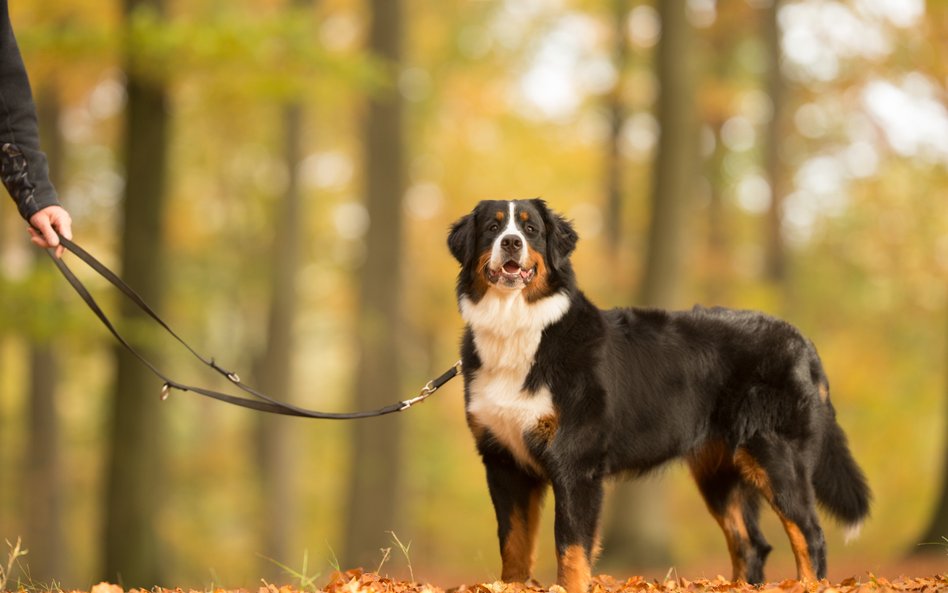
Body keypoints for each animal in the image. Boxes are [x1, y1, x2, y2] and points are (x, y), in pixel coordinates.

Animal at [448, 199, 872, 592]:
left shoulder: (575, 463)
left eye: (530, 228)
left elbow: (570, 549)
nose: (512, 243)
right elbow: (513, 547)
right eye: (492, 227)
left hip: (777, 457)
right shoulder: (504, 461)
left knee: (810, 535)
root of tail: (801, 340)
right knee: (752, 543)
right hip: (721, 472)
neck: (518, 330)